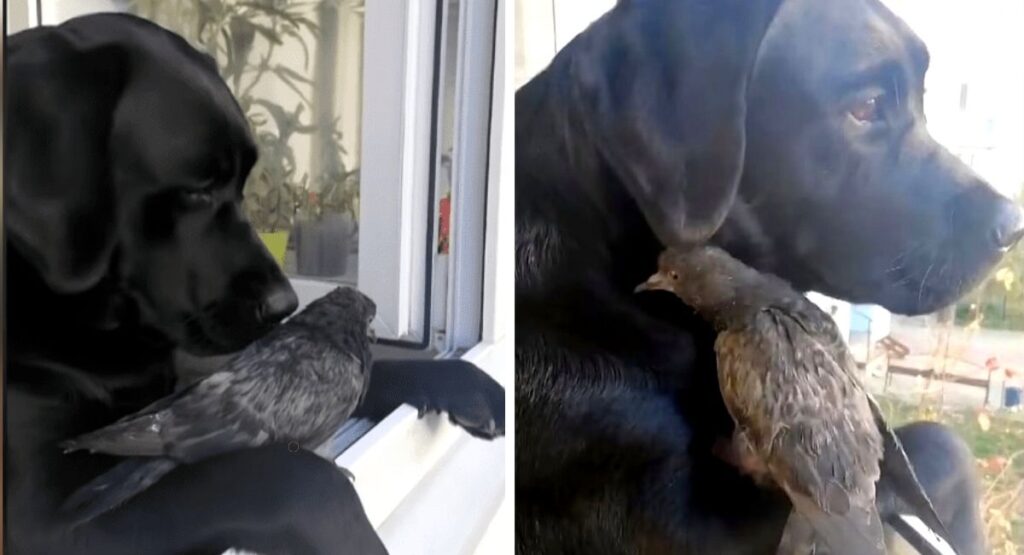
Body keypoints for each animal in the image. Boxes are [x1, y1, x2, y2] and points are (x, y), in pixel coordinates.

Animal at [8, 14, 503, 555]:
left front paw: (465, 383)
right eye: (196, 190)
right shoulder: (39, 521)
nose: (285, 305)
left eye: (245, 184)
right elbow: (300, 480)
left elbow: (389, 372)